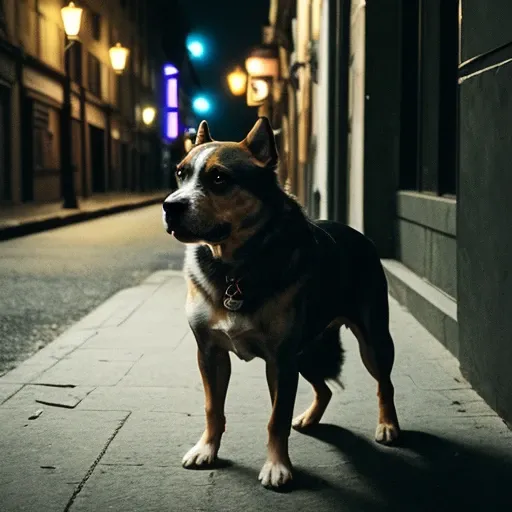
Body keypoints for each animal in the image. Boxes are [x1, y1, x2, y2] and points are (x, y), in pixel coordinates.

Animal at [161, 116, 400, 488]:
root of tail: (357, 233)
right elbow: (213, 408)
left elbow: (277, 419)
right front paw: (206, 449)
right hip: (307, 350)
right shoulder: (210, 352)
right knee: (325, 390)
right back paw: (310, 418)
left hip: (372, 339)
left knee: (384, 383)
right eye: (180, 173)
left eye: (219, 178)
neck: (234, 268)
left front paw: (277, 466)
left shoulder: (280, 359)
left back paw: (388, 425)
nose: (170, 207)